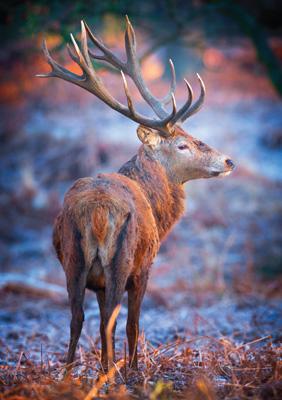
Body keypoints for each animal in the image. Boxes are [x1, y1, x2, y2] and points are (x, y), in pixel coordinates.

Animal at [37, 16, 236, 372]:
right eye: (182, 145)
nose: (228, 160)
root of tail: (98, 211)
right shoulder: (145, 267)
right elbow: (132, 323)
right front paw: (132, 367)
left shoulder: (97, 281)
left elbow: (105, 319)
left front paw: (108, 363)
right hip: (123, 259)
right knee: (112, 319)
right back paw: (115, 373)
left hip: (73, 260)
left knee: (77, 317)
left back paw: (70, 372)